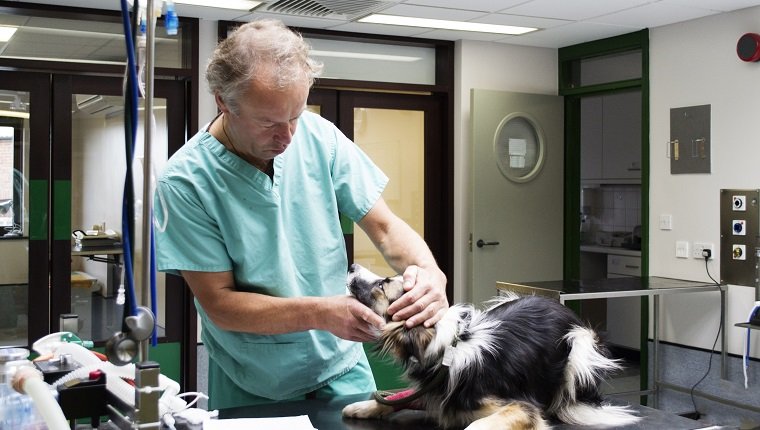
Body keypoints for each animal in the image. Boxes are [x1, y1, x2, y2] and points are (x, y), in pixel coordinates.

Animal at [342, 264, 640, 428]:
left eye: (383, 284)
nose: (352, 265)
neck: (448, 351)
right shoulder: (437, 393)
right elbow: (399, 397)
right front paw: (365, 406)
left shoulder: (521, 407)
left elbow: (477, 425)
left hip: (580, 345)